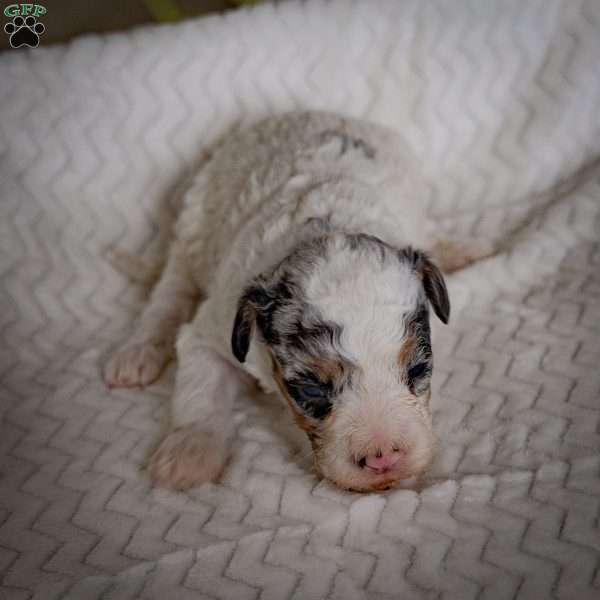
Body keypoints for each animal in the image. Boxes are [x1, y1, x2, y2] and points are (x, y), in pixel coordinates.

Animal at [103, 111, 488, 492]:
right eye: (311, 389)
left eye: (418, 369)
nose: (384, 458)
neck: (325, 227)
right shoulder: (214, 330)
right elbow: (202, 387)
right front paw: (189, 453)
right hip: (197, 219)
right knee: (173, 286)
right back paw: (137, 352)